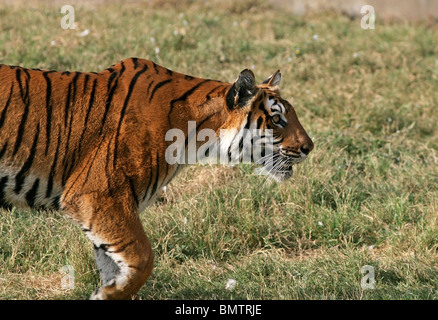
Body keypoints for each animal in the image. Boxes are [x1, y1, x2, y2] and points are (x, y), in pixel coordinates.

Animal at [0, 57, 314, 300]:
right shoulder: (99, 194)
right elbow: (143, 258)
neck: (198, 135)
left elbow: (114, 264)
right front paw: (107, 294)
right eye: (276, 119)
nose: (309, 148)